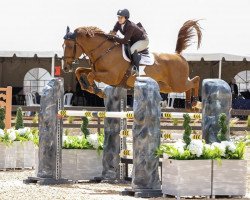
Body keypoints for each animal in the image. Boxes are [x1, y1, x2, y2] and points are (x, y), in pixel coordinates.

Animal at [63, 19, 202, 108]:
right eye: (63, 45)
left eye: (69, 45)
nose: (65, 68)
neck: (104, 51)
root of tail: (178, 55)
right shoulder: (98, 71)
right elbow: (80, 70)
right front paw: (87, 87)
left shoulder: (112, 76)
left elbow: (91, 75)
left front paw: (99, 91)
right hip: (167, 86)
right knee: (189, 85)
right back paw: (189, 105)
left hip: (178, 83)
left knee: (195, 80)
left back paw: (195, 102)